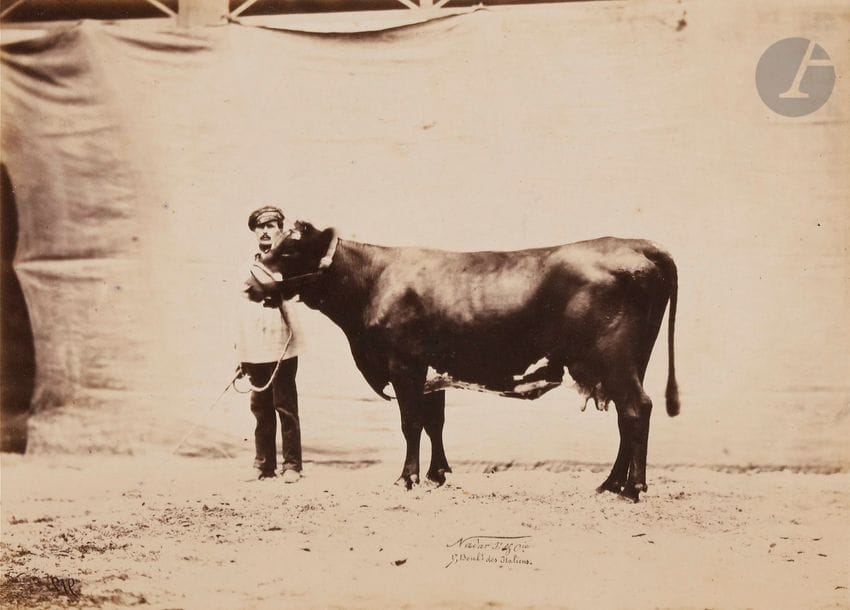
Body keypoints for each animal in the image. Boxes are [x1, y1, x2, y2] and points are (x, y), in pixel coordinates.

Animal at [244, 221, 679, 502]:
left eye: (288, 250)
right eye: (267, 246)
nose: (249, 284)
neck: (372, 281)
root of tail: (636, 244)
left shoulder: (403, 363)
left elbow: (411, 423)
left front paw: (408, 478)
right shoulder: (431, 370)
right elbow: (434, 423)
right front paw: (437, 474)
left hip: (614, 358)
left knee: (636, 409)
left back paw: (632, 489)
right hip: (632, 360)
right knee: (626, 416)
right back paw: (612, 484)